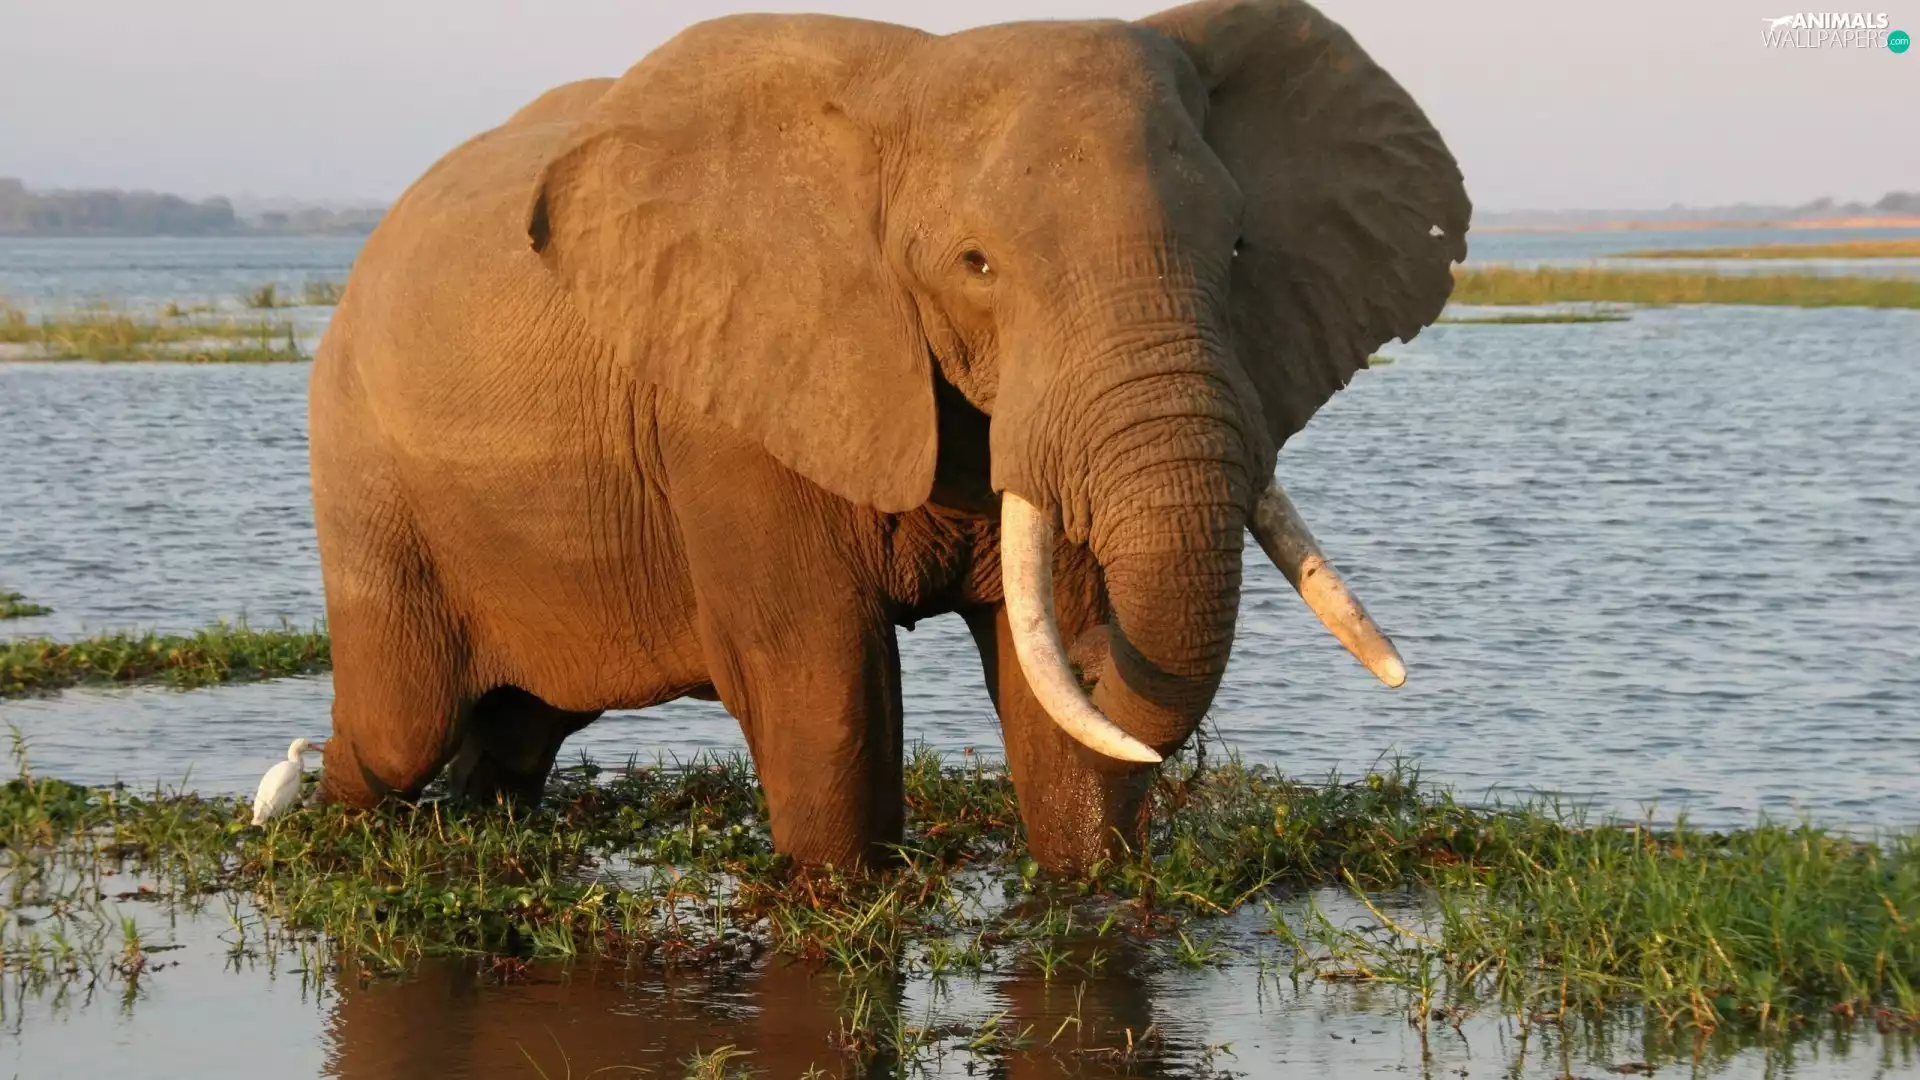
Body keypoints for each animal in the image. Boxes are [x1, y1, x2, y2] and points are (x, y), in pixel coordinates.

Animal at [306, 0, 1469, 872]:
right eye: (975, 264)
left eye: (1235, 248)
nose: (1106, 659)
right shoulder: (732, 403)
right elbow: (820, 682)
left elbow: (1050, 707)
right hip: (360, 463)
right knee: (397, 729)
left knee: (518, 728)